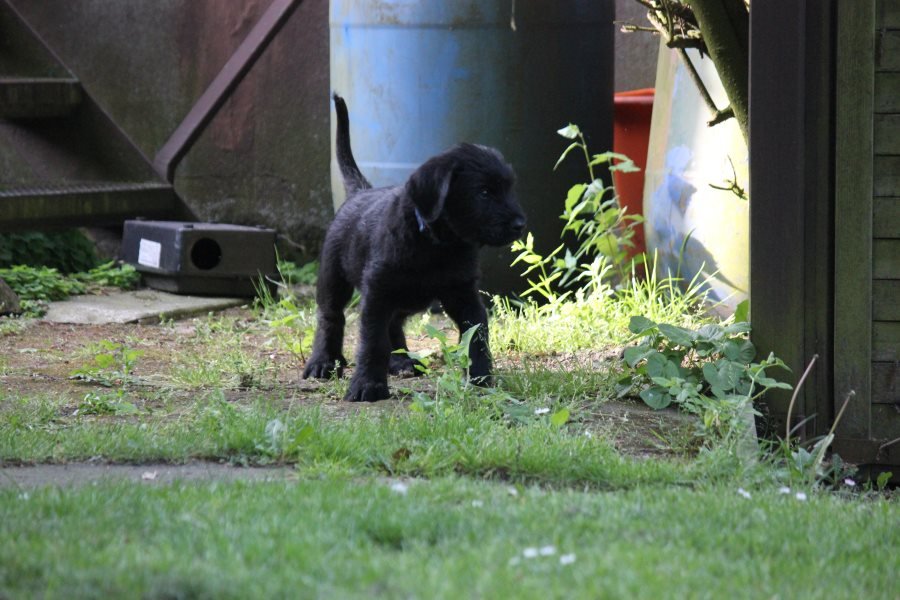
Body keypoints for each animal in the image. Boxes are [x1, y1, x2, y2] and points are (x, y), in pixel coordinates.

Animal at [304, 95, 528, 404]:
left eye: (509, 189)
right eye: (483, 192)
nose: (520, 224)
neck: (435, 245)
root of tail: (360, 191)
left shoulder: (463, 294)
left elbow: (477, 334)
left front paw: (481, 378)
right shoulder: (377, 293)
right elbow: (373, 342)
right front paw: (367, 385)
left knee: (394, 325)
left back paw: (401, 361)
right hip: (333, 278)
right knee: (331, 317)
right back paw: (323, 361)